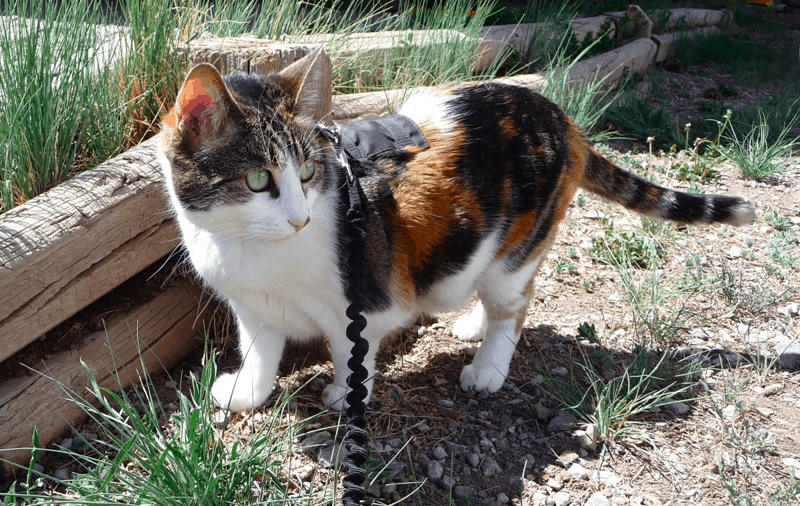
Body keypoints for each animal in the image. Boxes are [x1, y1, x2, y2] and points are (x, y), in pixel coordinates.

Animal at [158, 50, 756, 412]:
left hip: (519, 245)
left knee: (515, 304)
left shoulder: (367, 303)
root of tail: (565, 120)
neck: (251, 253)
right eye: (258, 179)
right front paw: (248, 393)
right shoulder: (252, 306)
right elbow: (260, 350)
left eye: (306, 172)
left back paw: (487, 364)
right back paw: (473, 323)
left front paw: (347, 395)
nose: (300, 218)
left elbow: (354, 351)